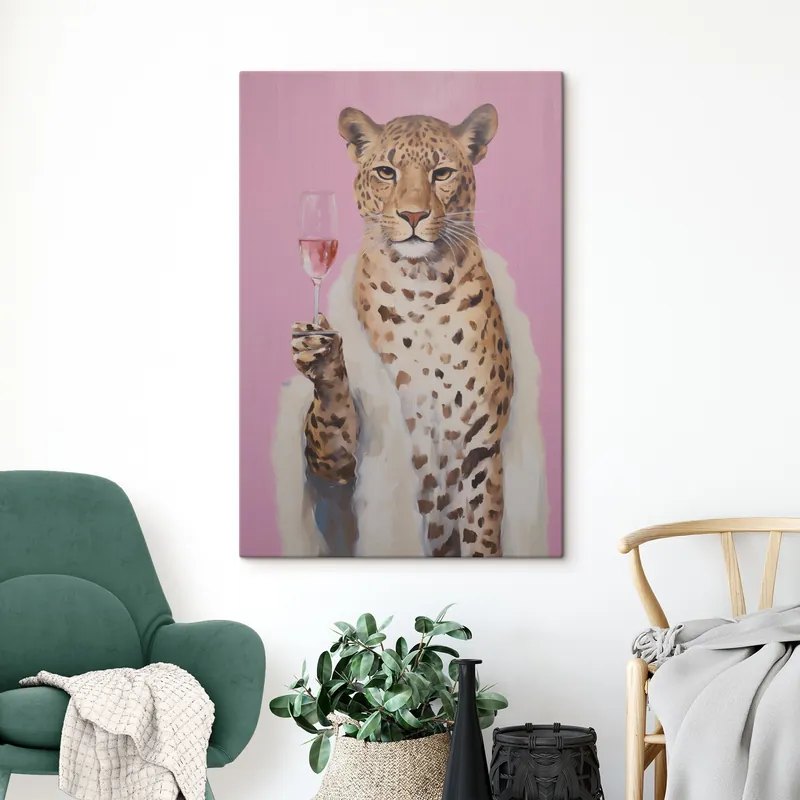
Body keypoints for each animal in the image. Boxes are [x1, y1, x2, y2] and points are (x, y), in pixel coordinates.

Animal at [292, 104, 514, 557]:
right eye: (386, 172)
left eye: (442, 173)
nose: (413, 215)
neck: (421, 286)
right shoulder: (339, 457)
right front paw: (321, 356)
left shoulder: (480, 449)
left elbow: (481, 536)